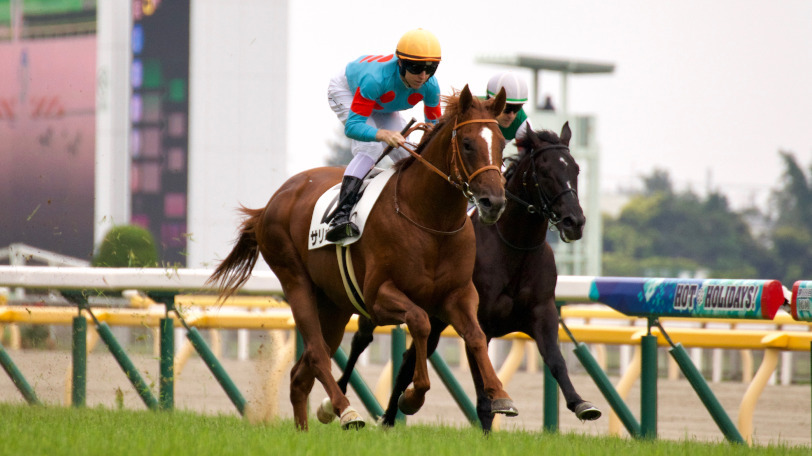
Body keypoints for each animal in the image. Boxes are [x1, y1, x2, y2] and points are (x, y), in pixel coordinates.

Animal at [208, 85, 519, 430]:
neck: (429, 220)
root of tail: (273, 202)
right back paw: (345, 410)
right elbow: (419, 322)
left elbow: (475, 335)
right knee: (316, 353)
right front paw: (412, 397)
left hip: (333, 305)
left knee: (301, 375)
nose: (494, 202)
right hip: (295, 280)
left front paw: (500, 395)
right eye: (466, 143)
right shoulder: (379, 297)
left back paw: (305, 428)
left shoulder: (459, 295)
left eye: (502, 143)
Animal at [333, 122, 601, 431]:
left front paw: (581, 404)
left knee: (407, 361)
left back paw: (390, 416)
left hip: (434, 319)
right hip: (379, 300)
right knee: (362, 340)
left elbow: (556, 360)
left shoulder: (542, 312)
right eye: (544, 171)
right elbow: (482, 390)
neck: (514, 248)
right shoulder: (480, 321)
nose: (574, 221)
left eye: (575, 169)